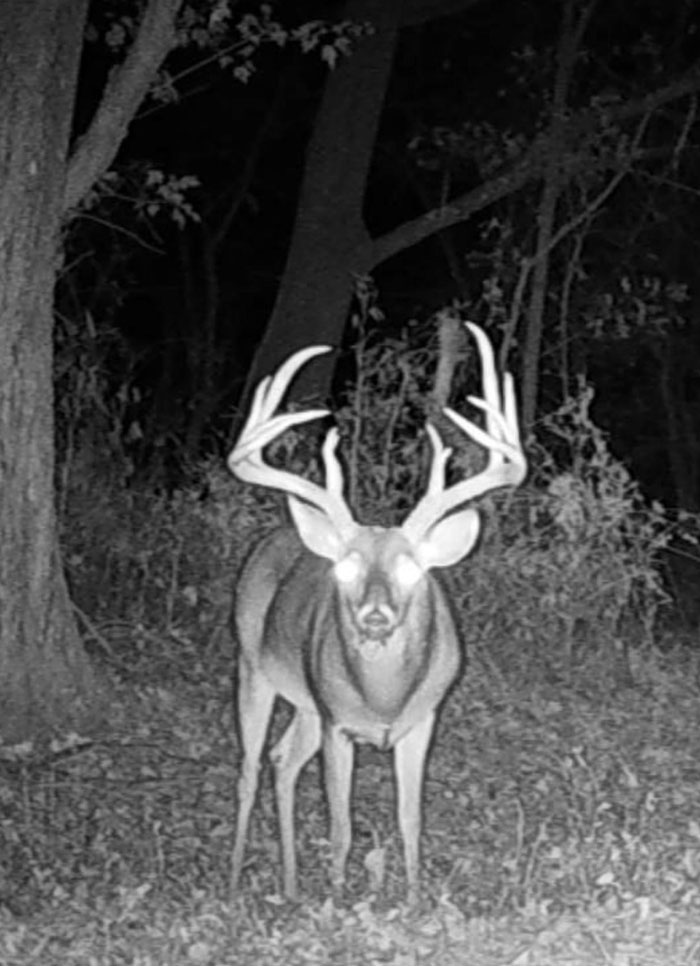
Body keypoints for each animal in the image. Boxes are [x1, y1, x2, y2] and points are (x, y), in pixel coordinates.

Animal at [227, 322, 526, 903]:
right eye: (345, 569)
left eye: (412, 570)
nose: (375, 617)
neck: (383, 699)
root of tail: (279, 534)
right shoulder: (338, 725)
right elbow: (341, 825)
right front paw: (337, 899)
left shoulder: (422, 720)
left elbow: (411, 817)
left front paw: (412, 899)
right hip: (253, 666)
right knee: (250, 767)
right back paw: (230, 877)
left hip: (306, 704)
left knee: (281, 760)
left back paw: (290, 884)